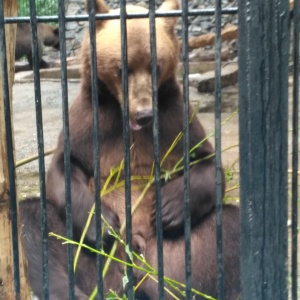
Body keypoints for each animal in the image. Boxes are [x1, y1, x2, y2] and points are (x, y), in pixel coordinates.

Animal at [19, 0, 240, 298]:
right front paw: (104, 224)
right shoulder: (92, 121)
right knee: (35, 225)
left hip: (183, 250)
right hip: (86, 257)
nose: (144, 114)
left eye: (155, 65)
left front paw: (167, 208)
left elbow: (205, 163)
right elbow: (64, 168)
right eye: (122, 68)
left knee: (228, 228)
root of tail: (135, 276)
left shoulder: (174, 119)